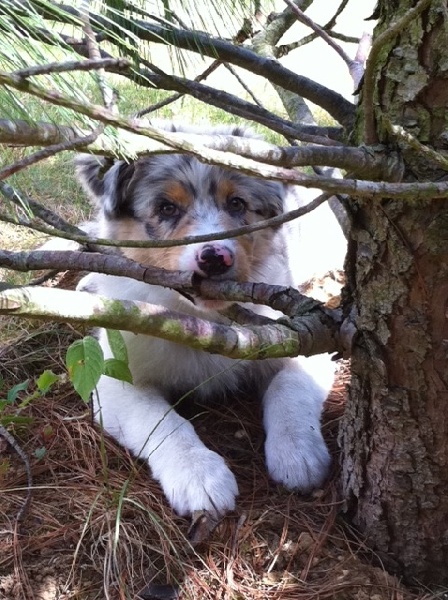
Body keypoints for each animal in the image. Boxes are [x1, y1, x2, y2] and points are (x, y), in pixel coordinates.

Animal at [75, 120, 342, 516]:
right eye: (166, 208)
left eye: (237, 203)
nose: (215, 258)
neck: (203, 319)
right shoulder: (116, 378)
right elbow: (163, 423)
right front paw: (199, 476)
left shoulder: (307, 338)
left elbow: (289, 386)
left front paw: (297, 453)